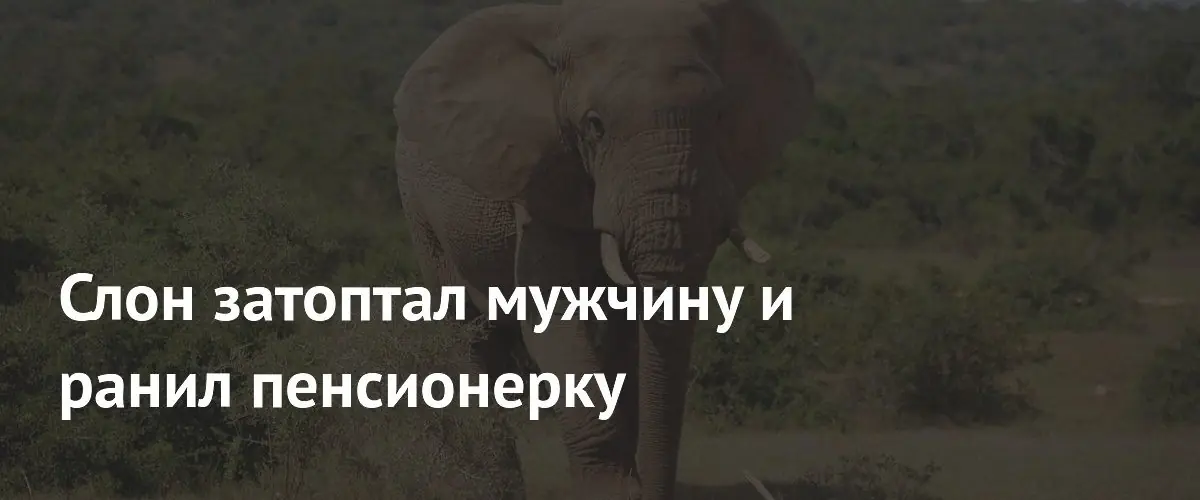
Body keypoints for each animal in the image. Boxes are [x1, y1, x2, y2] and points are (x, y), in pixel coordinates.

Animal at [391, 0, 815, 498]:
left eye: (717, 118)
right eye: (594, 127)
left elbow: (626, 336)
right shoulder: (540, 182)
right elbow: (554, 320)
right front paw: (613, 489)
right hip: (420, 211)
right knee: (470, 338)